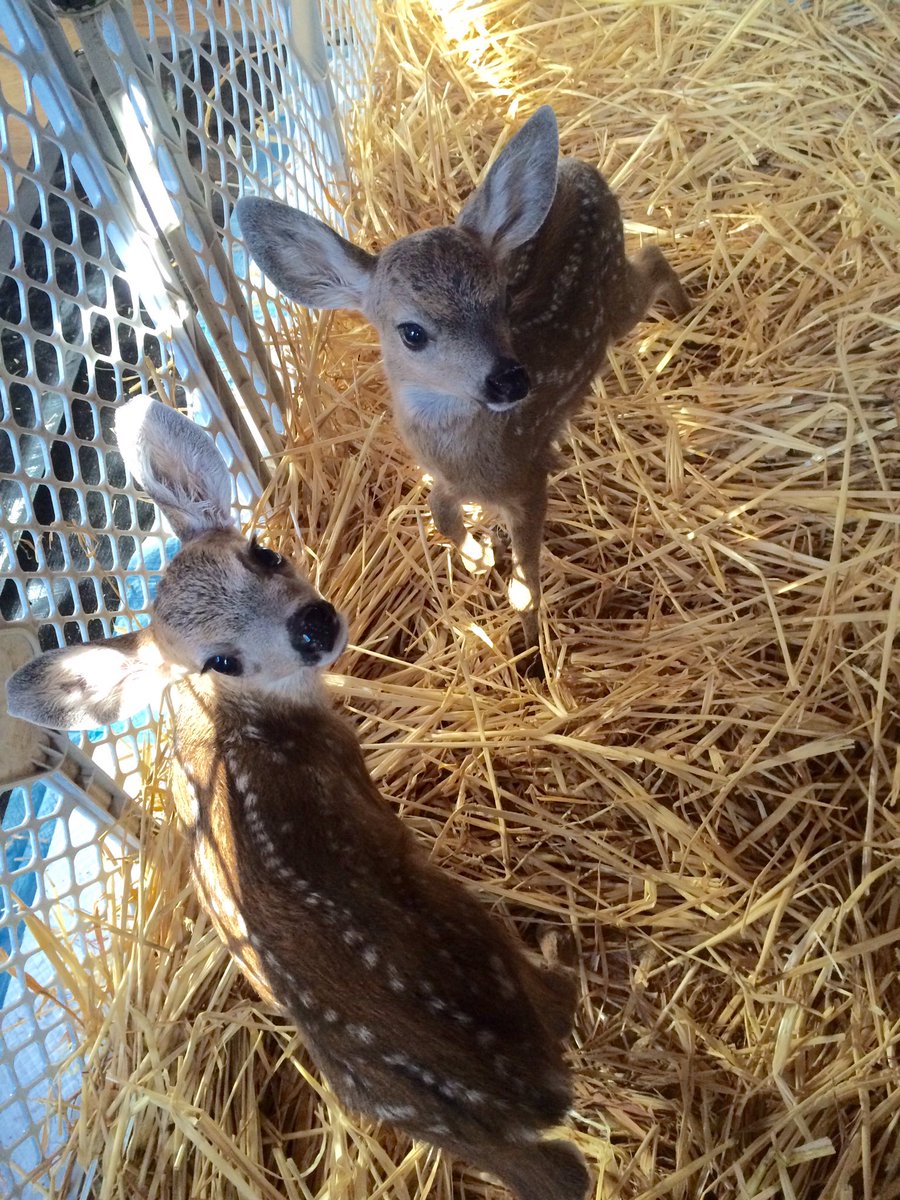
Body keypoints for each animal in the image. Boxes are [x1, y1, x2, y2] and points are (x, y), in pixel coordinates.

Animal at [5, 396, 589, 1200]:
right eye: (221, 659)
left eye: (260, 552)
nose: (312, 626)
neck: (233, 715)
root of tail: (521, 1090)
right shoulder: (351, 770)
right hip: (481, 941)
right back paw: (563, 948)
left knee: (559, 1173)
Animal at [235, 104, 689, 675]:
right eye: (412, 332)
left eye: (501, 301)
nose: (510, 378)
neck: (470, 452)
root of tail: (580, 167)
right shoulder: (450, 479)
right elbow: (439, 512)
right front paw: (478, 557)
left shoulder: (528, 480)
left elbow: (527, 579)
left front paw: (531, 650)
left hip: (619, 305)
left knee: (654, 254)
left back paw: (686, 311)